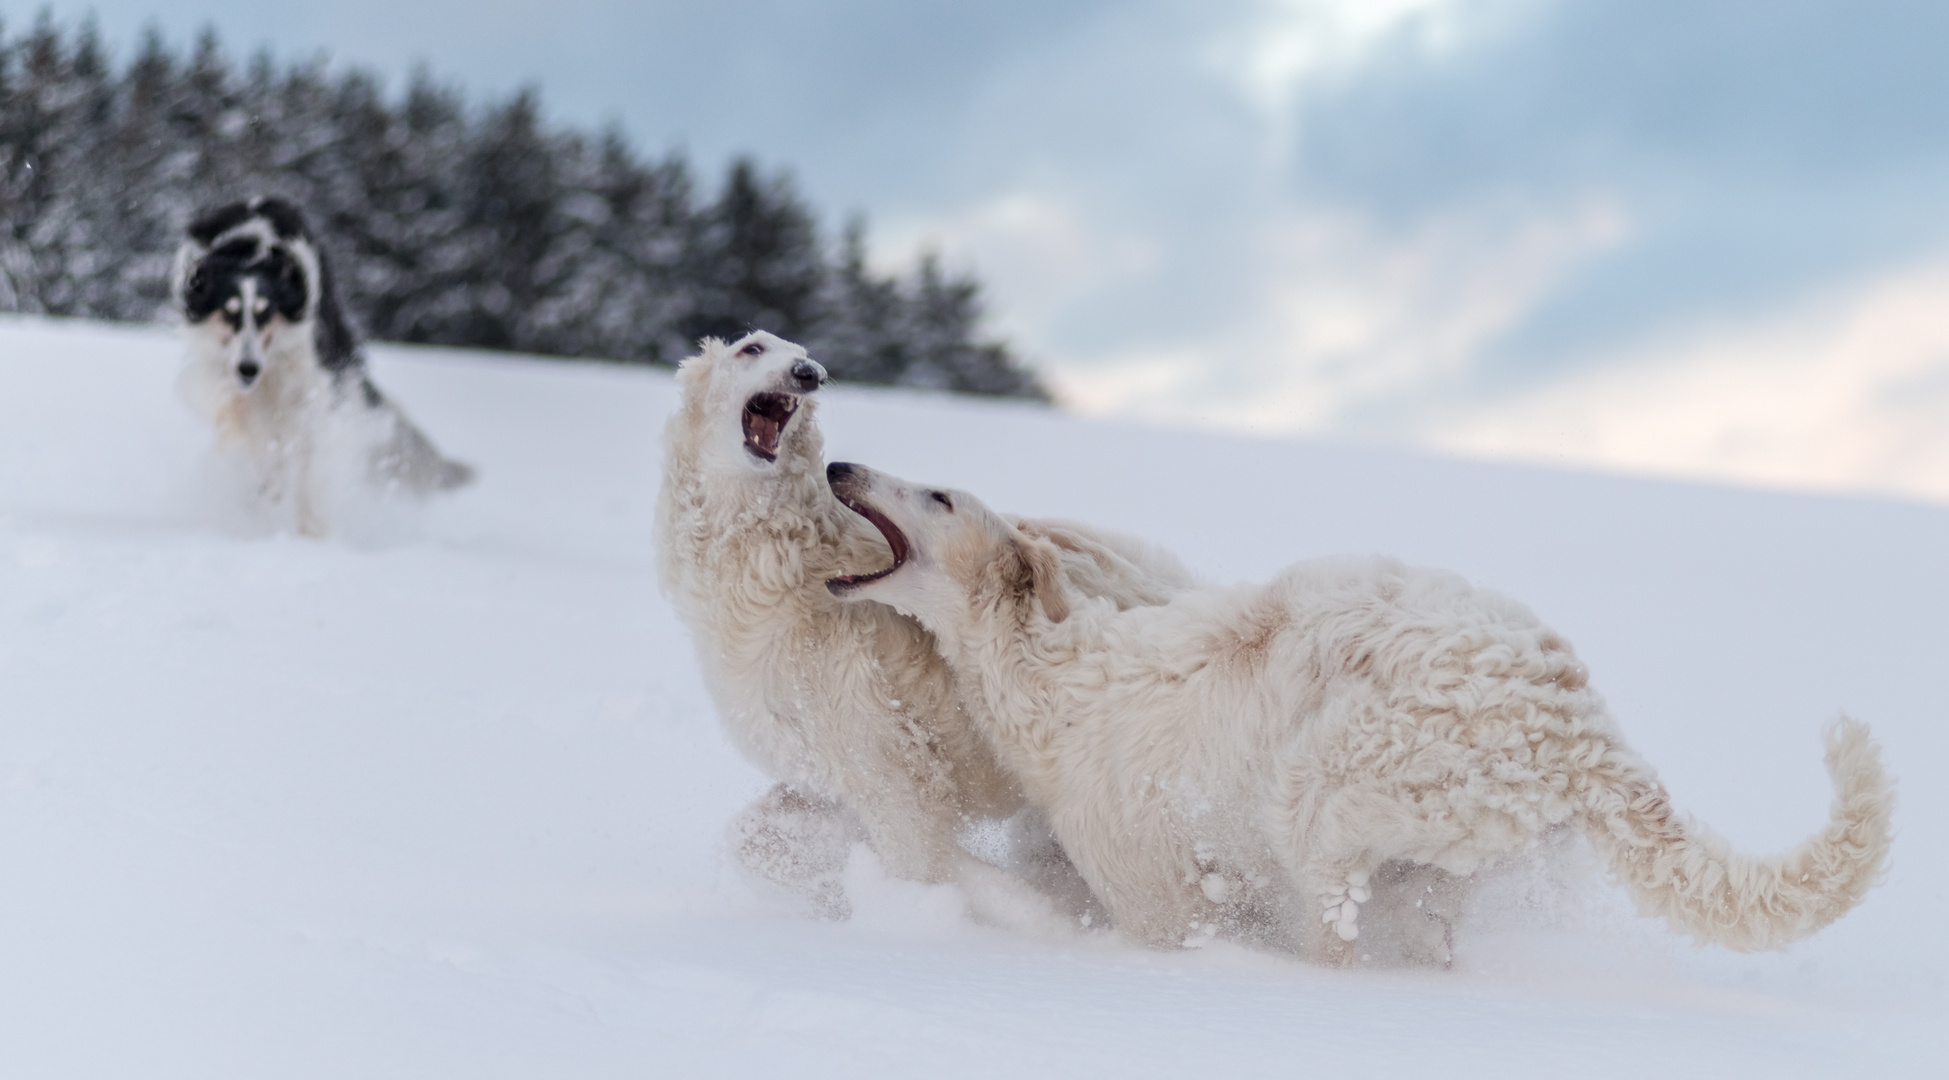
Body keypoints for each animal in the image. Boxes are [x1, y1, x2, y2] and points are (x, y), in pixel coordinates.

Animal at [662, 329, 1192, 916]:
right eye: (751, 348)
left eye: (800, 354)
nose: (809, 373)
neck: (785, 565)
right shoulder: (824, 775)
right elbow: (751, 838)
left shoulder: (888, 772)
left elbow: (927, 862)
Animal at [818, 458, 1886, 963]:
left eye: (938, 495)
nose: (838, 468)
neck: (1053, 669)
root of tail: (1578, 722)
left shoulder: (1147, 878)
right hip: (1436, 859)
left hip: (1324, 794)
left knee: (1331, 939)